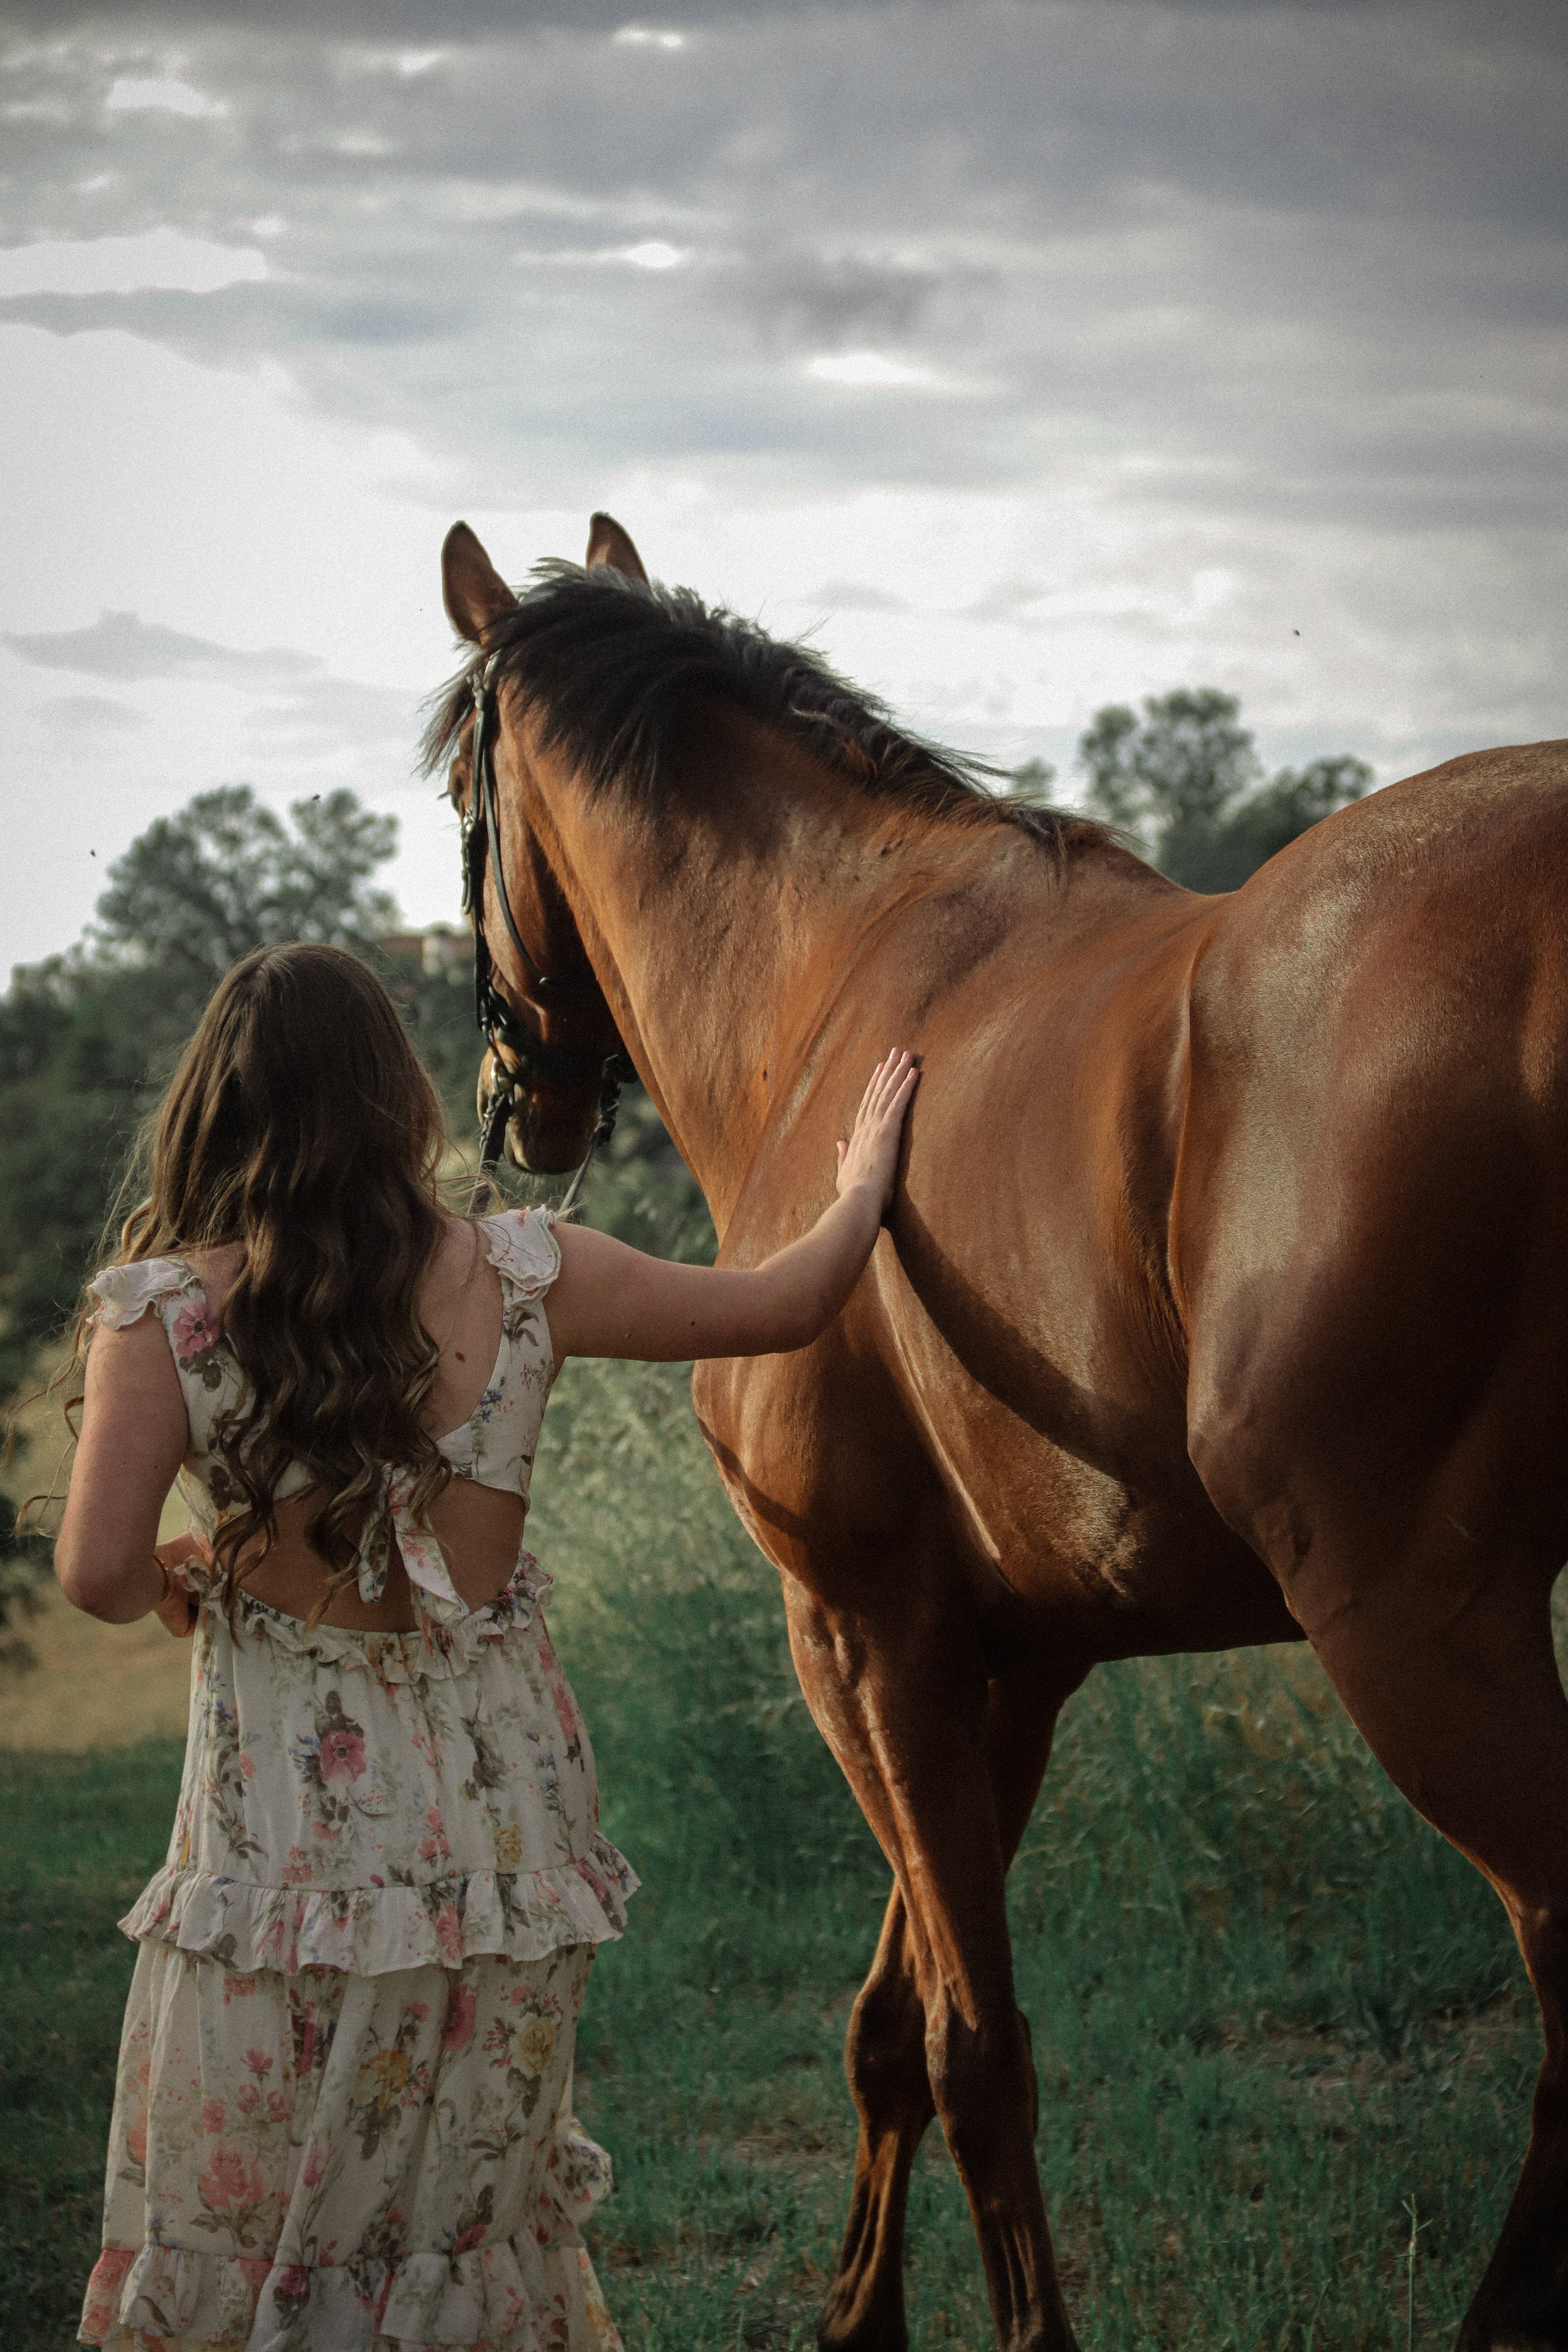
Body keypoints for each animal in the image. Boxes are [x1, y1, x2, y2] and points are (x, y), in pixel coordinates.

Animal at [426, 511, 1568, 2352]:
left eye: (462, 790)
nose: (511, 1101)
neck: (835, 987)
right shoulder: (1009, 1659)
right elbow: (896, 2017)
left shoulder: (857, 1629)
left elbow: (973, 2046)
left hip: (1418, 1623)